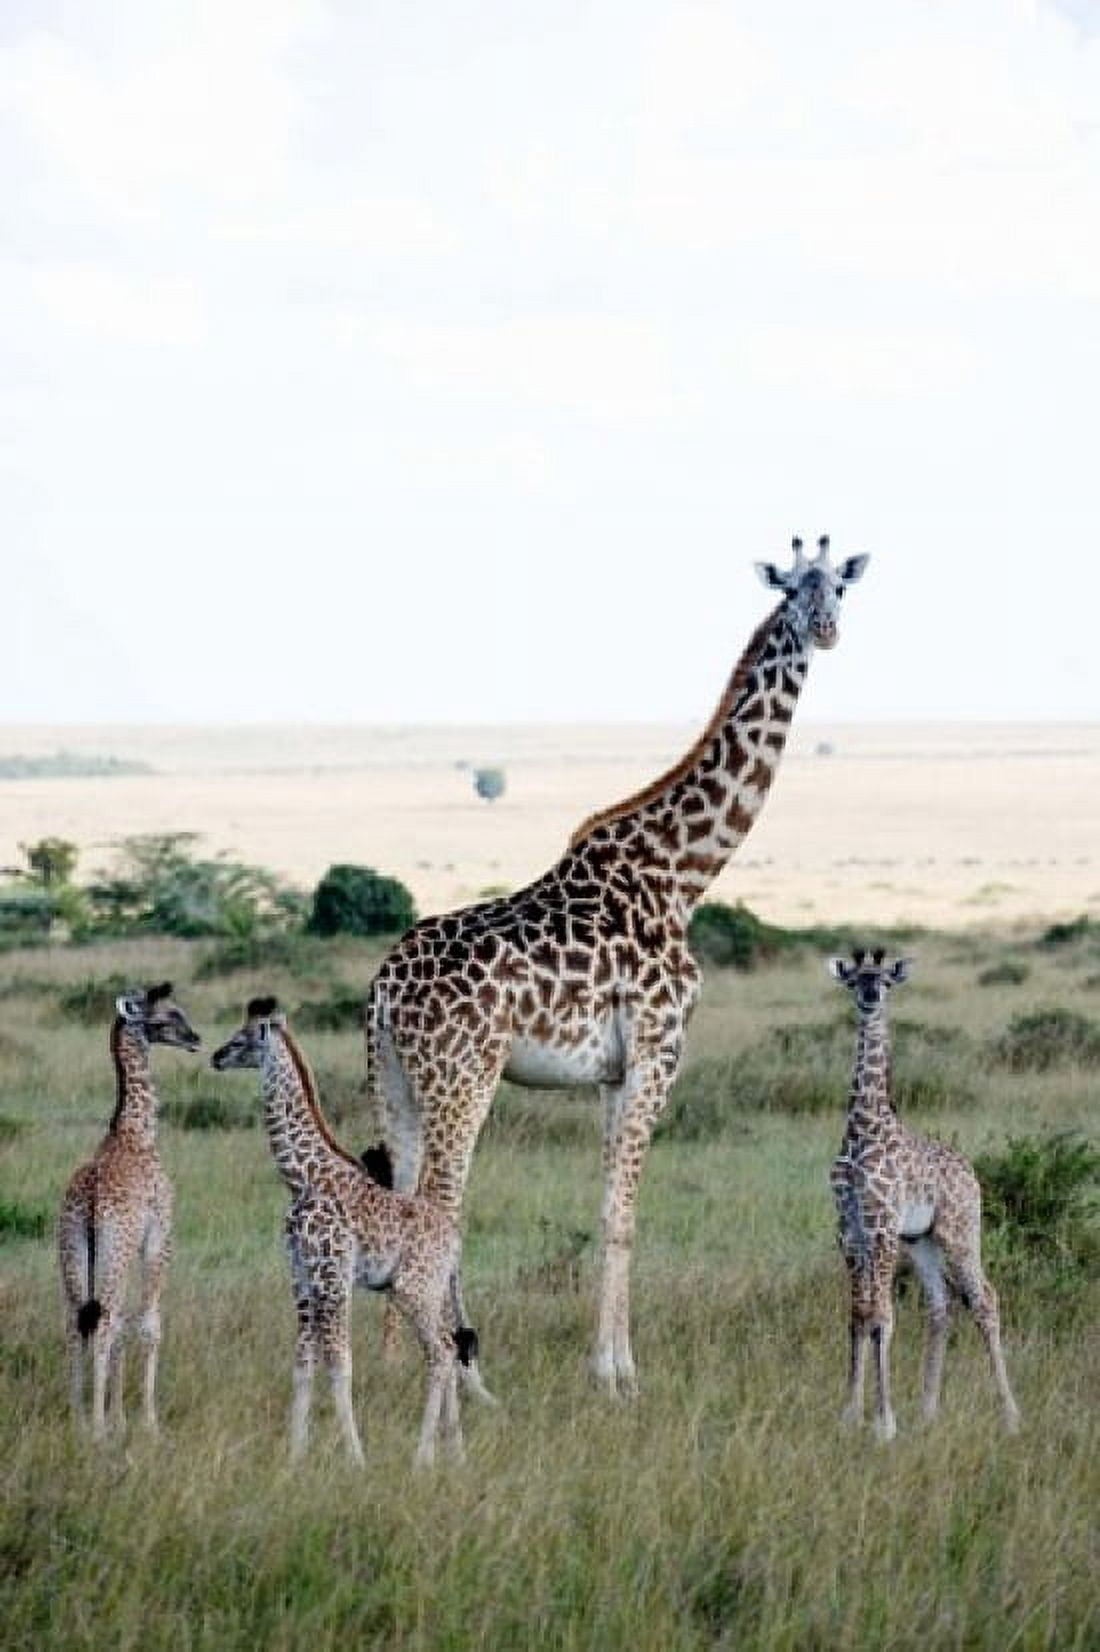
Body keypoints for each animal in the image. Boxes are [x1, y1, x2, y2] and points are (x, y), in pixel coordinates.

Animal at [58, 982, 200, 1439]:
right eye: (168, 1015)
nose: (195, 1038)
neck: (136, 1131)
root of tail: (89, 1204)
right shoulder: (159, 1236)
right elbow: (149, 1324)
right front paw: (148, 1421)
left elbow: (125, 1326)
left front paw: (120, 1415)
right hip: (115, 1254)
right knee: (103, 1324)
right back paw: (96, 1427)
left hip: (72, 1253)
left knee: (77, 1325)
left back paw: (78, 1417)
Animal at [211, 997, 477, 1467]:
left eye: (242, 1039)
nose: (216, 1056)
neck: (303, 1178)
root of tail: (454, 1238)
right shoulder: (301, 1277)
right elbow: (303, 1364)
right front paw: (294, 1454)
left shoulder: (332, 1276)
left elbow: (339, 1364)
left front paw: (355, 1457)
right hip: (431, 1289)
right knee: (448, 1348)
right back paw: (455, 1453)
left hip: (410, 1288)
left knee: (442, 1352)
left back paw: (421, 1457)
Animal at [366, 535, 869, 1395]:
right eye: (793, 589)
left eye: (838, 586)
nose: (828, 629)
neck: (684, 874)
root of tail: (383, 989)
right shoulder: (660, 1051)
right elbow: (625, 1211)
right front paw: (617, 1373)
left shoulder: (611, 1070)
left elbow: (608, 1204)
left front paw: (608, 1361)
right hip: (462, 1075)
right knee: (439, 1202)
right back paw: (463, 1373)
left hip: (395, 1076)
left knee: (403, 1193)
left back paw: (399, 1363)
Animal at [829, 949, 1020, 1441]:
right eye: (855, 980)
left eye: (885, 982)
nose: (871, 998)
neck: (863, 1128)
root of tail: (972, 1173)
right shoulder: (848, 1230)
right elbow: (857, 1315)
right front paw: (850, 1415)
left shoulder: (880, 1226)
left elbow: (881, 1317)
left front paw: (884, 1422)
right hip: (922, 1241)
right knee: (940, 1305)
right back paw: (929, 1410)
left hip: (959, 1231)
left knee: (985, 1299)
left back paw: (1011, 1413)